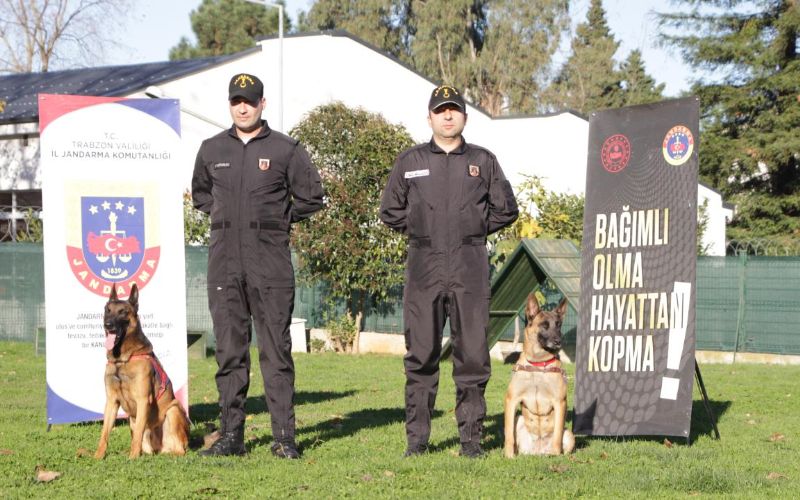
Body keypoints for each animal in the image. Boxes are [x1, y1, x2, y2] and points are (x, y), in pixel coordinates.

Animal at [94, 284, 190, 458]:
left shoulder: (143, 400)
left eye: (123, 312)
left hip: (173, 409)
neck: (122, 359)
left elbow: (138, 433)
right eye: (107, 310)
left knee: (179, 450)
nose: (108, 325)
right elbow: (104, 433)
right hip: (132, 420)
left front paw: (132, 459)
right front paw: (98, 457)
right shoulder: (111, 402)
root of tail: (160, 449)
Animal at [504, 292, 572, 458]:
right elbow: (508, 434)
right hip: (519, 419)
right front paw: (508, 455)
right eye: (544, 325)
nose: (559, 341)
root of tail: (538, 452)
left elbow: (557, 433)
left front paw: (556, 454)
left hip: (569, 434)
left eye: (558, 325)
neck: (538, 365)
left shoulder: (560, 402)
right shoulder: (511, 400)